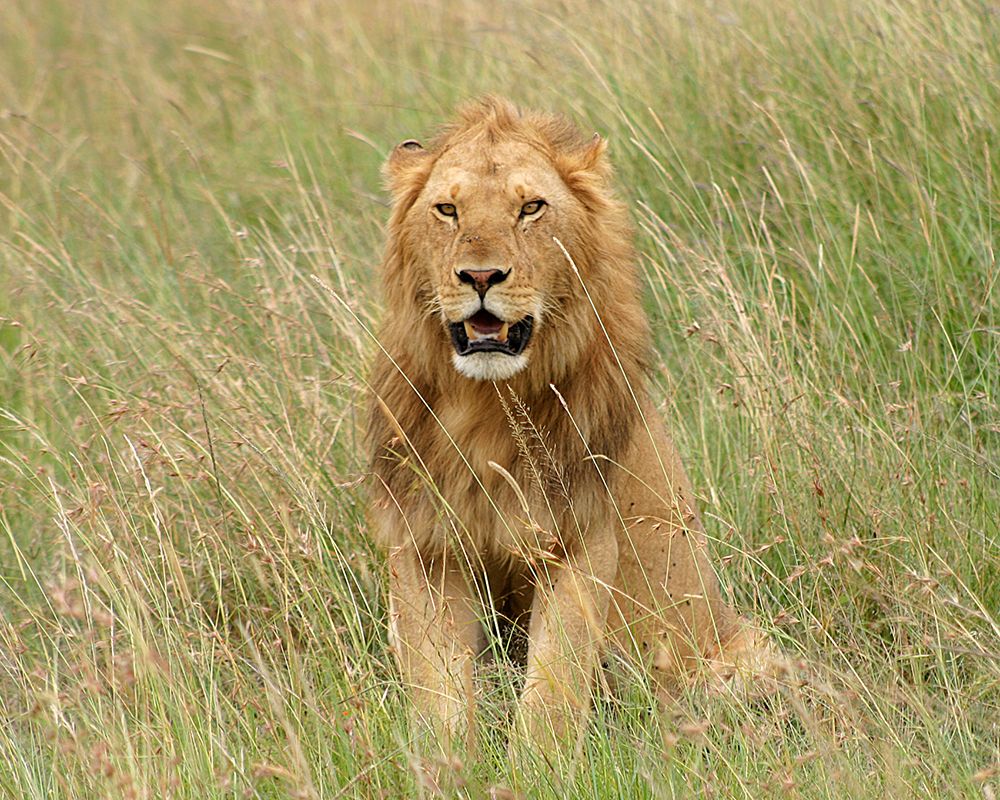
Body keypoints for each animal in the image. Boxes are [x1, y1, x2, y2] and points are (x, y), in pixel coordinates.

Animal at [367, 97, 774, 755]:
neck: (486, 404)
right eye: (447, 210)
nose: (481, 277)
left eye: (531, 207)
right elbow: (438, 694)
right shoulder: (424, 544)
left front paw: (537, 766)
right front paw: (446, 765)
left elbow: (553, 688)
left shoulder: (579, 539)